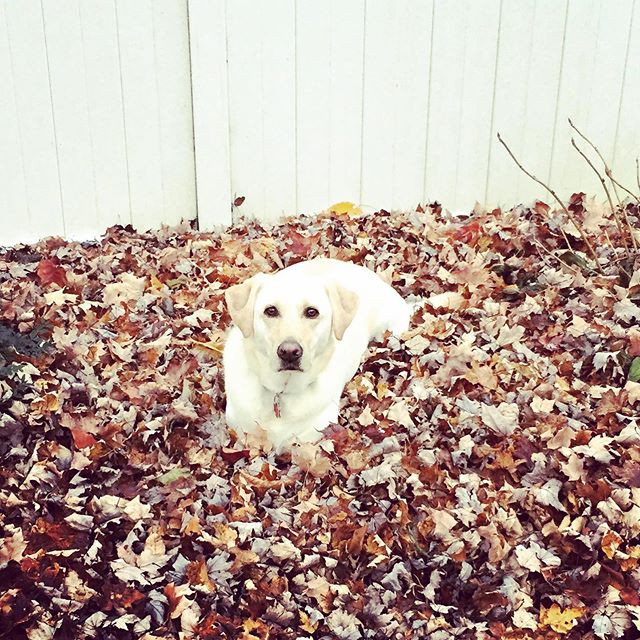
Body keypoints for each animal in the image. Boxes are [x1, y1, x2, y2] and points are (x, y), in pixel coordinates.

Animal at [222, 258, 408, 448]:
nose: (289, 352)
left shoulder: (312, 433)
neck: (281, 392)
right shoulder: (238, 427)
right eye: (270, 310)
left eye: (312, 312)